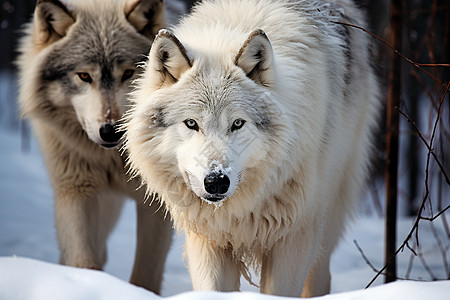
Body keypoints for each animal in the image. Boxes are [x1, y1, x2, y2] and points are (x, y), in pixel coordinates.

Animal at [16, 0, 174, 292]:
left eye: (128, 73)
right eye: (84, 76)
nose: (111, 131)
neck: (112, 160)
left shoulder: (158, 203)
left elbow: (145, 274)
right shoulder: (75, 190)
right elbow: (83, 260)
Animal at [123, 0, 380, 296]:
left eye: (237, 123)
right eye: (191, 123)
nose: (216, 181)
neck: (240, 209)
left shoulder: (294, 236)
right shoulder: (208, 239)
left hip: (327, 216)